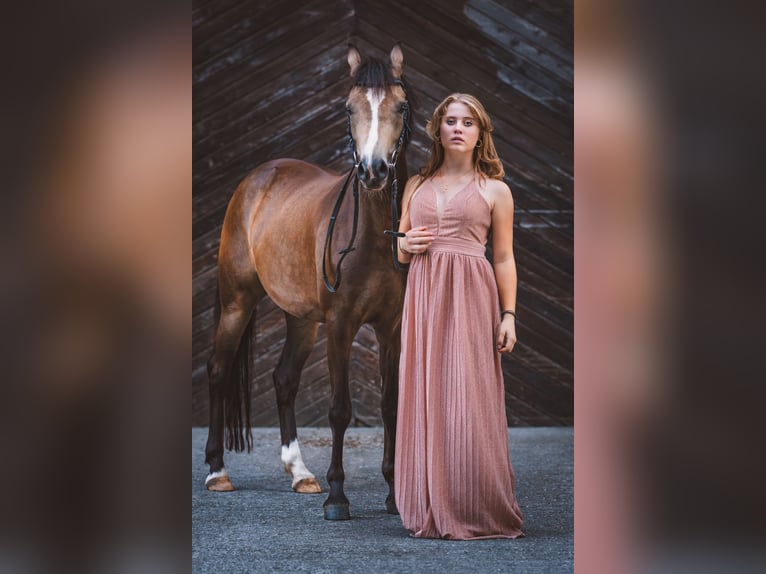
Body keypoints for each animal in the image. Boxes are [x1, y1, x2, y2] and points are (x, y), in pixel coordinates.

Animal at [201, 45, 412, 520]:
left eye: (401, 106)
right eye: (349, 108)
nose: (373, 171)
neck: (371, 233)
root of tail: (259, 177)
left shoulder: (391, 328)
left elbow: (391, 406)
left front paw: (394, 495)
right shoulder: (340, 324)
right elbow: (339, 410)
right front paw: (337, 498)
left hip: (300, 319)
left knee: (284, 379)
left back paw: (300, 473)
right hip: (237, 302)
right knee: (219, 370)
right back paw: (217, 471)